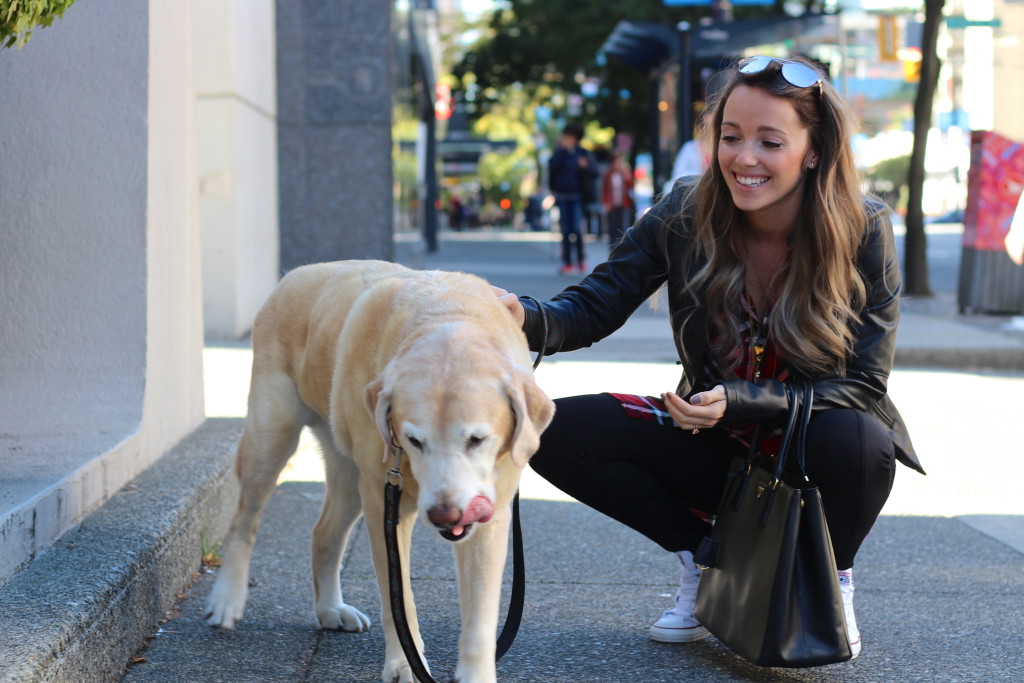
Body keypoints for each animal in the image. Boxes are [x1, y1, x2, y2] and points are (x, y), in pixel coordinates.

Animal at [205, 260, 552, 683]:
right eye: (414, 440)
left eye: (476, 439)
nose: (445, 514)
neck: (447, 318)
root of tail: (293, 275)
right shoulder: (387, 505)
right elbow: (397, 598)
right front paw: (404, 664)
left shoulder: (492, 518)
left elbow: (481, 616)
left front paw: (475, 674)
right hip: (273, 437)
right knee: (244, 520)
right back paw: (227, 598)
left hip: (350, 476)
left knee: (324, 533)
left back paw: (330, 609)